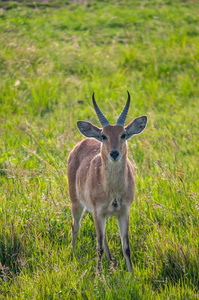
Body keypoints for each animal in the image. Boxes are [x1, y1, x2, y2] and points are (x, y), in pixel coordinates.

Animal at [67, 91, 147, 272]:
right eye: (104, 136)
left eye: (123, 134)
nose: (114, 153)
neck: (113, 191)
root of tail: (84, 140)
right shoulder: (99, 211)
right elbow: (99, 247)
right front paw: (99, 275)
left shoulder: (124, 211)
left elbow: (126, 246)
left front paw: (131, 274)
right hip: (77, 202)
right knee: (76, 226)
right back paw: (72, 256)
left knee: (102, 238)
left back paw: (111, 261)